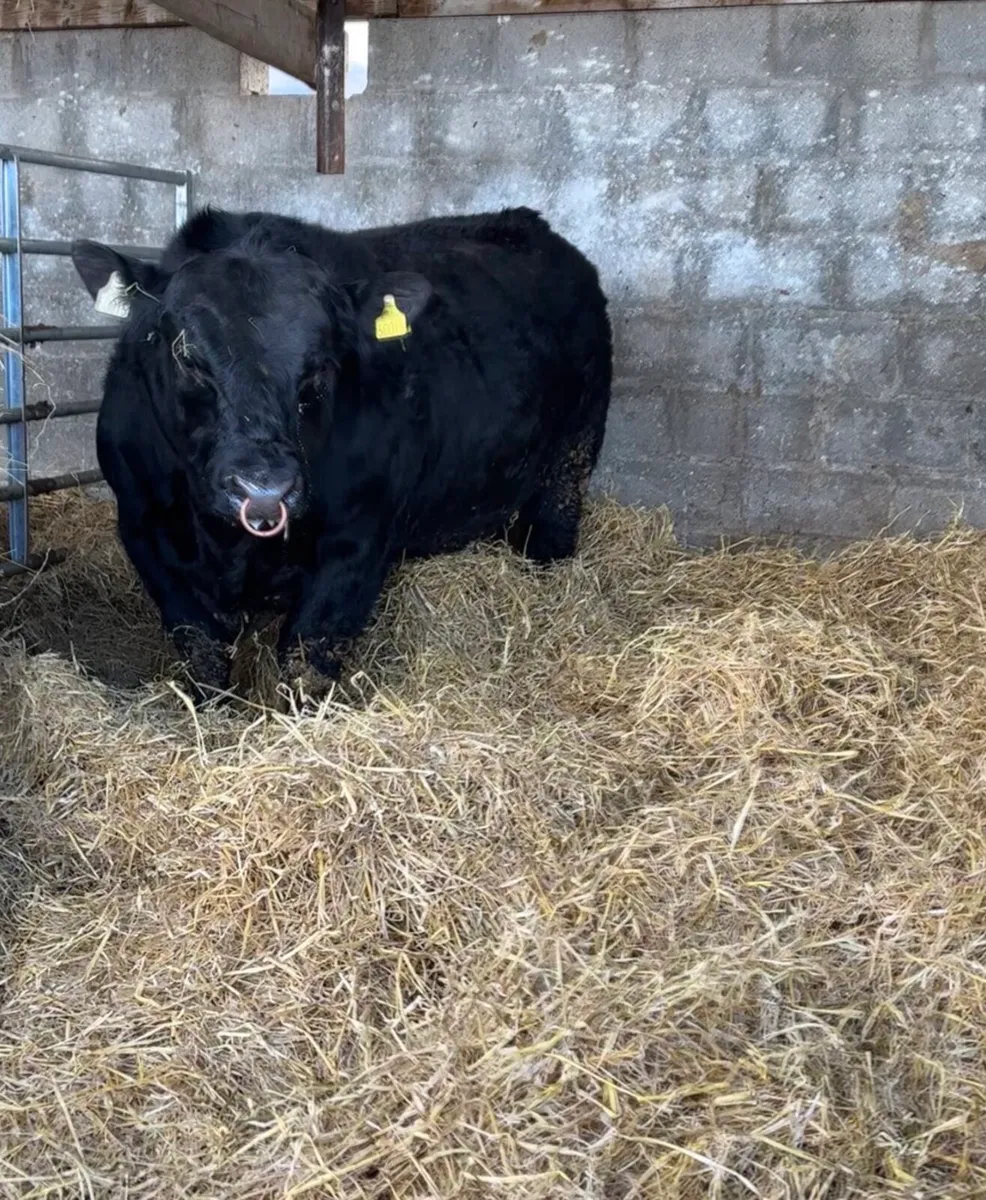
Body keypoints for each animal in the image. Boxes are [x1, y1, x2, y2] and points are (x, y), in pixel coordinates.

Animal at [70, 206, 612, 703]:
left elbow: (307, 657)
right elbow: (203, 652)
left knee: (554, 524)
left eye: (323, 362)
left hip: (574, 453)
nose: (263, 488)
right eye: (186, 354)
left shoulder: (355, 543)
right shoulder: (146, 534)